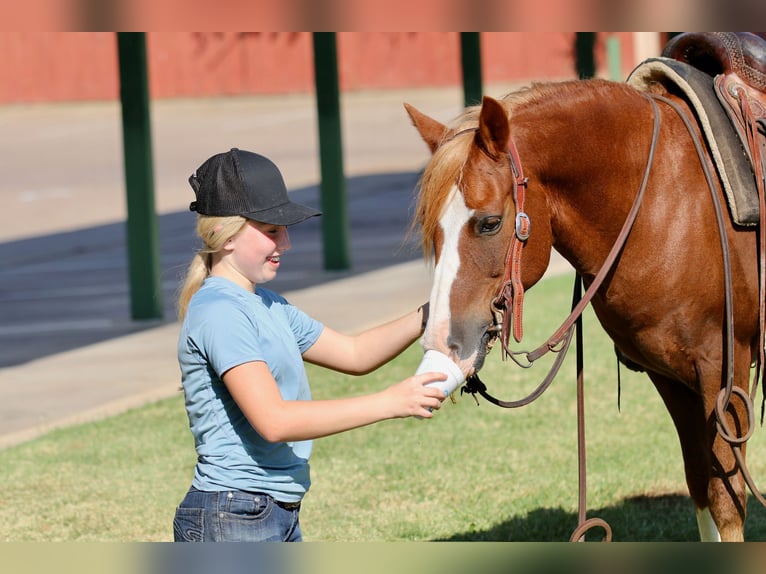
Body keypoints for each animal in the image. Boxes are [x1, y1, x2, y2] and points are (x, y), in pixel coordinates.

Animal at [404, 60, 766, 541]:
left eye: (489, 223)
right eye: (434, 231)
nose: (444, 339)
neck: (667, 199)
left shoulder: (723, 370)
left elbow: (727, 500)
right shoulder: (672, 376)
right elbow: (702, 488)